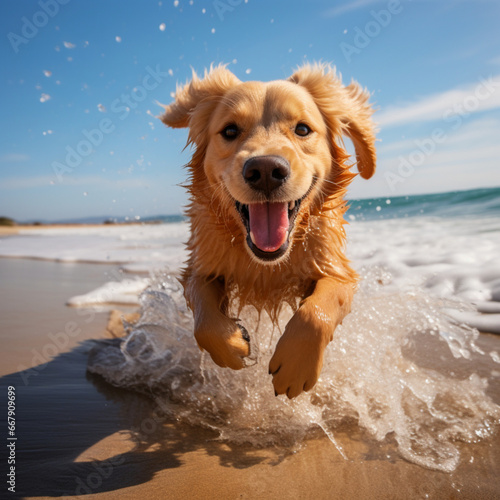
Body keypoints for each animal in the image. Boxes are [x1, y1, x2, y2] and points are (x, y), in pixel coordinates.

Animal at [160, 63, 376, 398]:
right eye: (230, 131)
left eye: (303, 129)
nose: (264, 171)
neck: (268, 264)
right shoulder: (202, 264)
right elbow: (204, 319)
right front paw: (231, 344)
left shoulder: (336, 268)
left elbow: (317, 311)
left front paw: (295, 365)